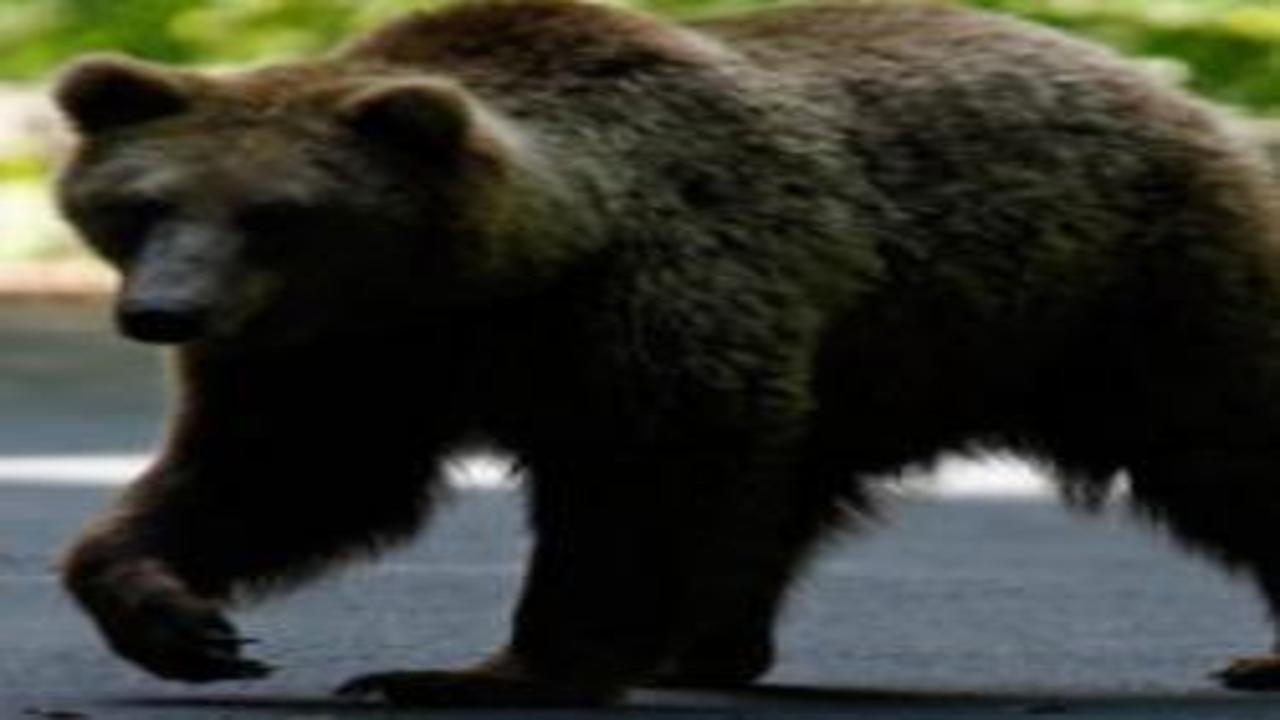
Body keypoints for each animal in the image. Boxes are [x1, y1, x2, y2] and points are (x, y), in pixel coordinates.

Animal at [51, 0, 1280, 705]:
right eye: (144, 202)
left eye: (276, 215)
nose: (164, 313)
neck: (490, 280)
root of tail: (1171, 96)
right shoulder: (344, 356)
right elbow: (285, 476)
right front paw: (176, 620)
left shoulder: (650, 302)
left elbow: (637, 481)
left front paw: (482, 671)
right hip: (872, 356)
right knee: (784, 497)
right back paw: (710, 648)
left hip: (1118, 290)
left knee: (1227, 443)